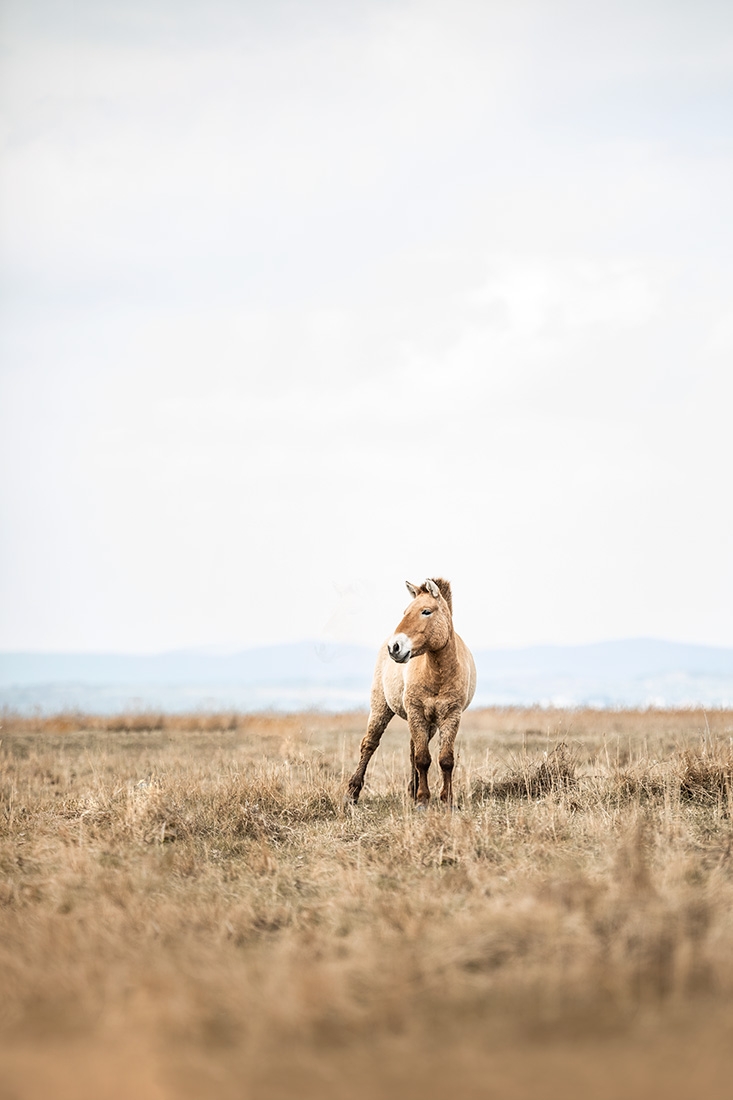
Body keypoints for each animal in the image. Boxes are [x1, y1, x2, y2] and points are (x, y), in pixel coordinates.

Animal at [346, 578, 476, 807]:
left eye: (426, 611)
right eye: (405, 611)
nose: (395, 647)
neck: (437, 673)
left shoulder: (451, 715)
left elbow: (445, 759)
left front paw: (447, 800)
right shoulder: (416, 712)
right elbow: (423, 759)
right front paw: (423, 800)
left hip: (429, 723)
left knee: (412, 749)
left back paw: (412, 789)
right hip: (381, 708)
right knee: (369, 744)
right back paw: (352, 793)